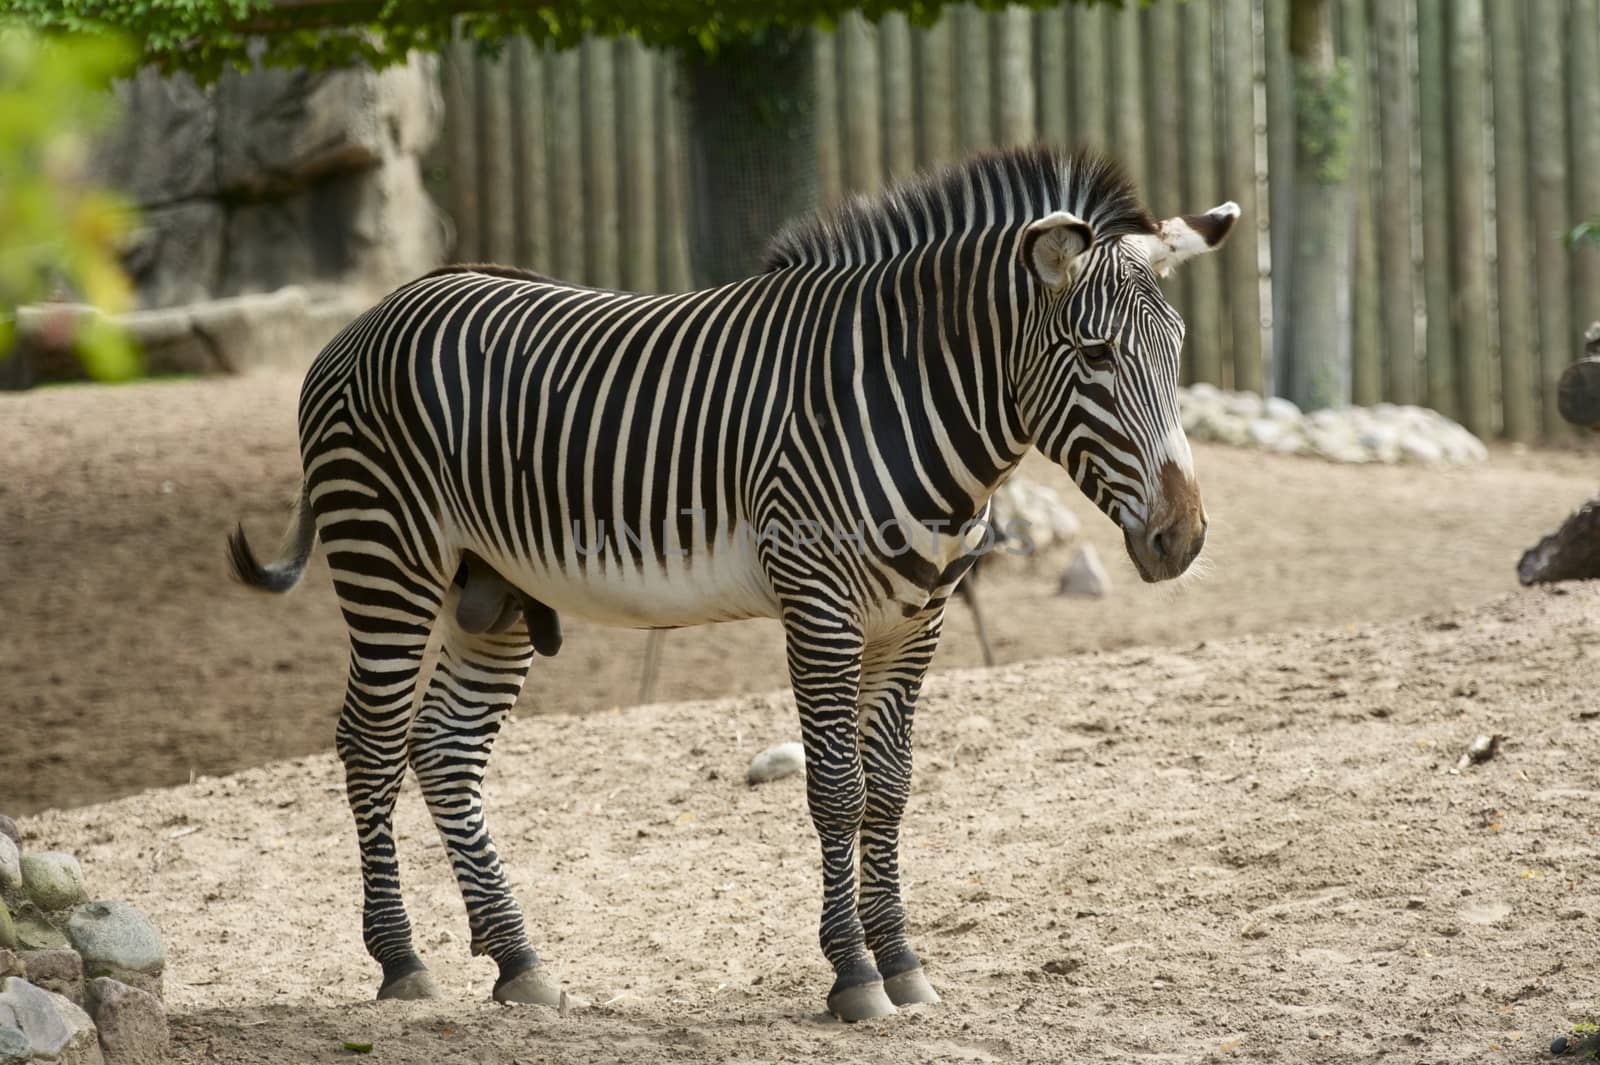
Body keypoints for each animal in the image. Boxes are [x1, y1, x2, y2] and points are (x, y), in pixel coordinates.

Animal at [228, 145, 1235, 1017]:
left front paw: (904, 961)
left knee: (443, 748)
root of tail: (372, 315)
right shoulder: (819, 605)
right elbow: (837, 788)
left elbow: (890, 786)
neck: (907, 399)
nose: (1183, 538)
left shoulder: (916, 621)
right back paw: (401, 959)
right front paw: (854, 975)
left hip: (493, 592)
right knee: (368, 742)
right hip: (386, 556)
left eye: (1180, 345)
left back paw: (519, 960)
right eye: (1097, 354)